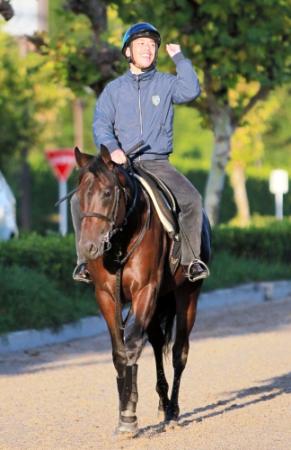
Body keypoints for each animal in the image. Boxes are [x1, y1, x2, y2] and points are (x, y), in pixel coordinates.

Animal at [74, 146, 211, 434]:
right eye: (80, 194)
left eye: (107, 193)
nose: (89, 247)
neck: (120, 241)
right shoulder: (106, 296)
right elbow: (120, 353)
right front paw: (125, 411)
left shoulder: (145, 290)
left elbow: (133, 346)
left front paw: (128, 416)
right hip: (159, 302)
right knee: (158, 344)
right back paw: (162, 402)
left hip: (187, 295)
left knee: (179, 352)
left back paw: (172, 411)